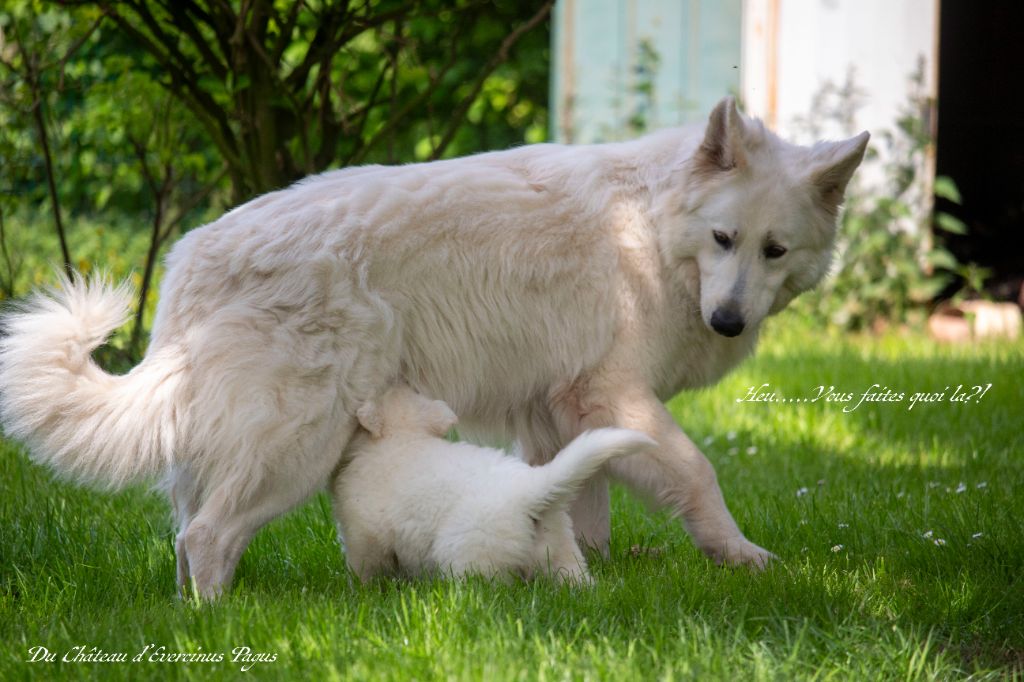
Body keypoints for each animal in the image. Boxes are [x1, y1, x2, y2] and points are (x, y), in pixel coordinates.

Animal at [335, 385, 655, 581]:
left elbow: (363, 568)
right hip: (562, 552)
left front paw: (361, 593)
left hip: (472, 556)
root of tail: (532, 491)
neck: (405, 436)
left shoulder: (364, 535)